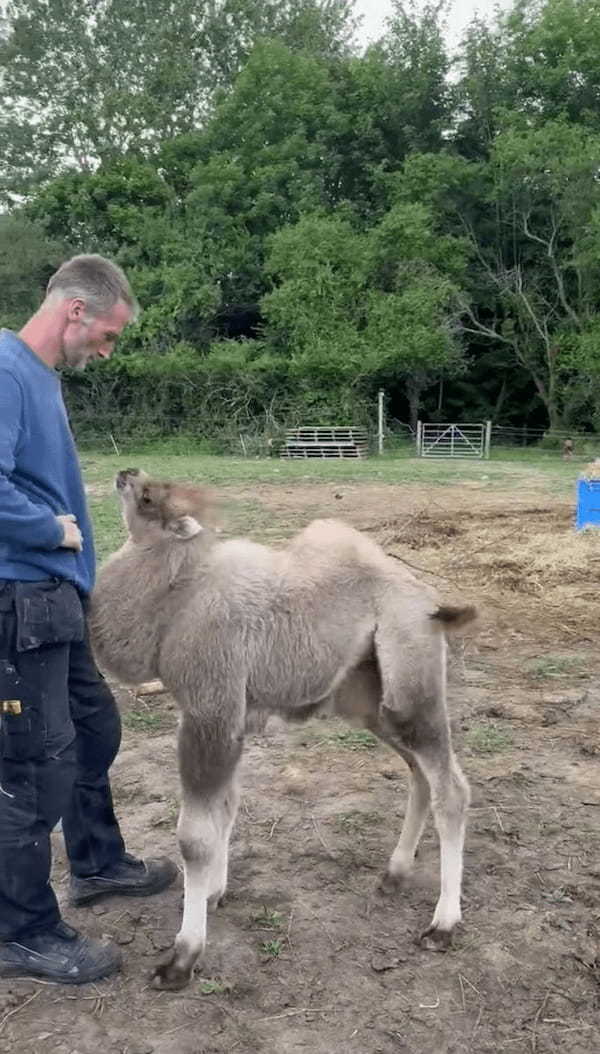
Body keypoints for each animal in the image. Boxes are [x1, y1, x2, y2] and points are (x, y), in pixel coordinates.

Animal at [90, 470, 472, 986]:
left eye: (150, 497)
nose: (126, 474)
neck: (179, 598)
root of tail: (432, 604)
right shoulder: (225, 720)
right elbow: (226, 807)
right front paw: (215, 893)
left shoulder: (210, 713)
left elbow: (194, 836)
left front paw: (182, 956)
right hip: (370, 703)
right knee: (419, 775)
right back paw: (394, 874)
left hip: (413, 690)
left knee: (450, 788)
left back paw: (443, 924)